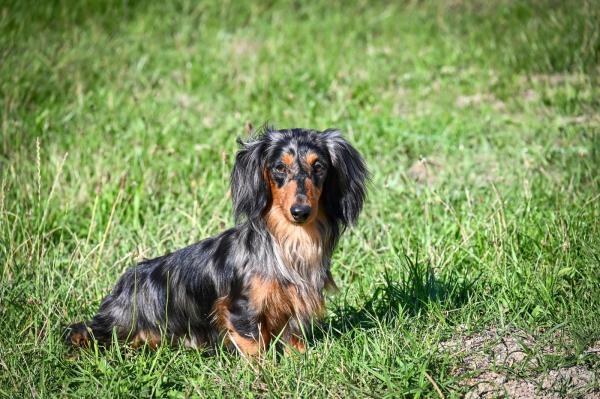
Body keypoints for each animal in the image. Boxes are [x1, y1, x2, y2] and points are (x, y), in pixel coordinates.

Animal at [64, 126, 366, 354]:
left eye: (319, 167)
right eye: (280, 167)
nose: (300, 212)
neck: (289, 244)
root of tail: (118, 290)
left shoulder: (294, 310)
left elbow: (295, 343)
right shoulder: (241, 310)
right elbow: (256, 351)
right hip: (118, 327)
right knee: (81, 331)